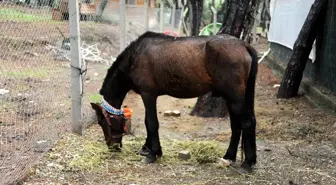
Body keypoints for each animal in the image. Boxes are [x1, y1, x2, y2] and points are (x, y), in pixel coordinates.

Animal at [89, 31, 258, 172]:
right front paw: (146, 148)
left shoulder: (148, 94)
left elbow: (151, 122)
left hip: (234, 98)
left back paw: (247, 163)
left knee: (247, 123)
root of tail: (244, 45)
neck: (134, 57)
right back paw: (229, 157)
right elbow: (148, 121)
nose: (112, 146)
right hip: (232, 98)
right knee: (237, 125)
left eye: (102, 122)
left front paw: (153, 153)